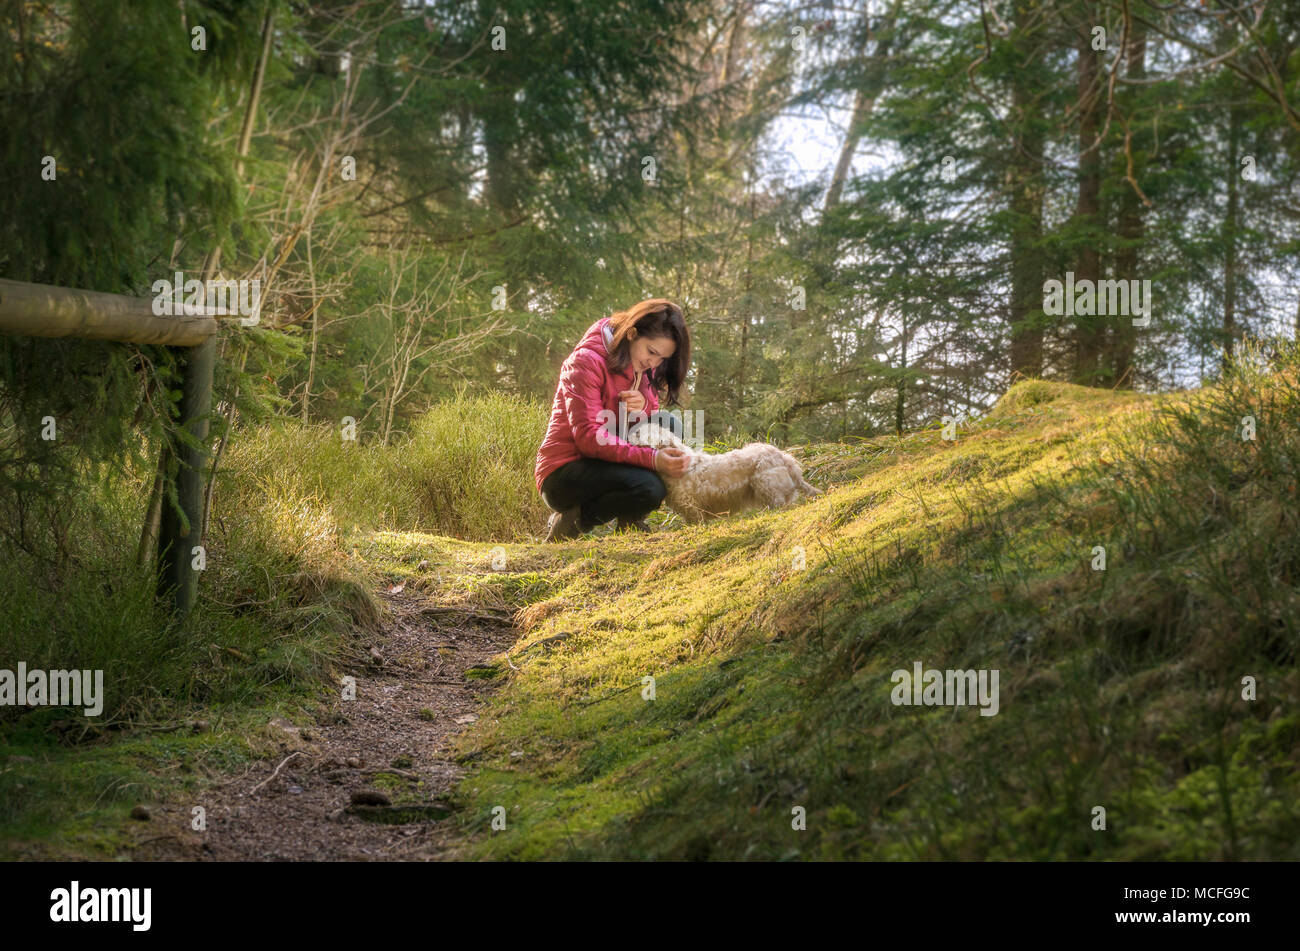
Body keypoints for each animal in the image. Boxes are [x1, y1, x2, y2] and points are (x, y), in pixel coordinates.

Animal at [624, 426, 816, 527]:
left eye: (639, 433)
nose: (627, 433)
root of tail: (785, 458)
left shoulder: (691, 505)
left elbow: (695, 519)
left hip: (765, 482)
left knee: (779, 502)